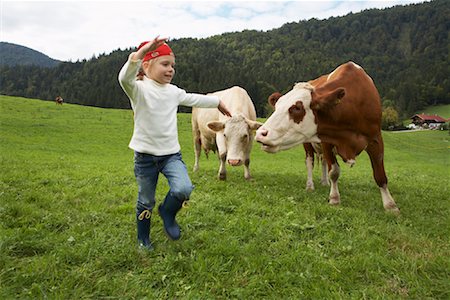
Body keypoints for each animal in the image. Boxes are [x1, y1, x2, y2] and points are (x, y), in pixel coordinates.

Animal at [255, 61, 400, 212]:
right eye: (276, 106)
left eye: (297, 108)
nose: (260, 133)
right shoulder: (326, 141)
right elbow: (334, 171)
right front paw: (334, 198)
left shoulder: (375, 139)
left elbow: (380, 175)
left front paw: (391, 206)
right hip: (307, 144)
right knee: (310, 162)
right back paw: (310, 185)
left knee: (323, 161)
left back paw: (325, 182)